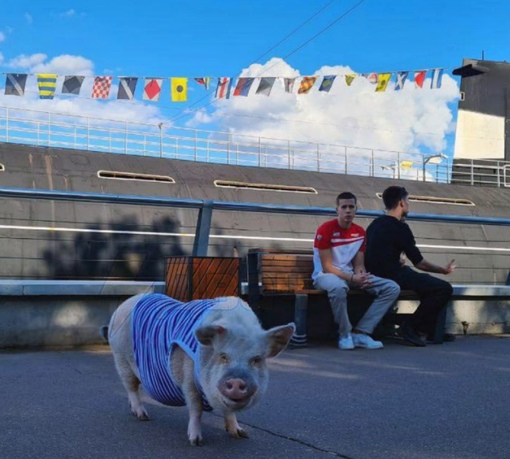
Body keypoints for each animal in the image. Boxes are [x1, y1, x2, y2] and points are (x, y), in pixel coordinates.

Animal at [103, 292, 294, 448]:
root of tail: (124, 303)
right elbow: (196, 408)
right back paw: (143, 416)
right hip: (121, 359)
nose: (236, 380)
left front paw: (241, 434)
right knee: (131, 387)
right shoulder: (187, 379)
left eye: (257, 359)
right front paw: (196, 442)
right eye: (223, 356)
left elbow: (229, 410)